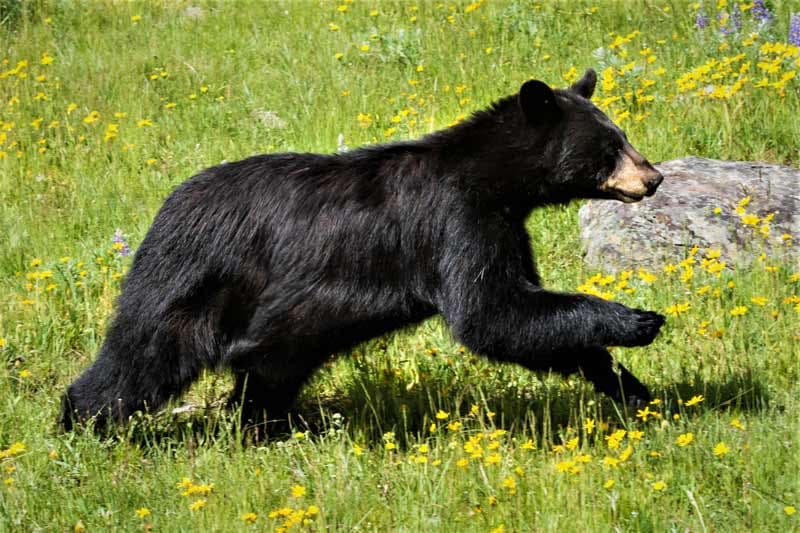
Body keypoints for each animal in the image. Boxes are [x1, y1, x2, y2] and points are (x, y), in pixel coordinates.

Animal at [61, 68, 665, 430]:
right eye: (611, 145)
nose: (654, 178)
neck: (492, 181)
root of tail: (166, 207)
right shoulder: (455, 222)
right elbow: (490, 312)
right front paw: (638, 320)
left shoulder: (505, 227)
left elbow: (528, 317)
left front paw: (631, 387)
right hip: (193, 280)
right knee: (141, 353)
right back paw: (82, 423)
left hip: (278, 328)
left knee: (266, 375)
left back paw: (265, 427)